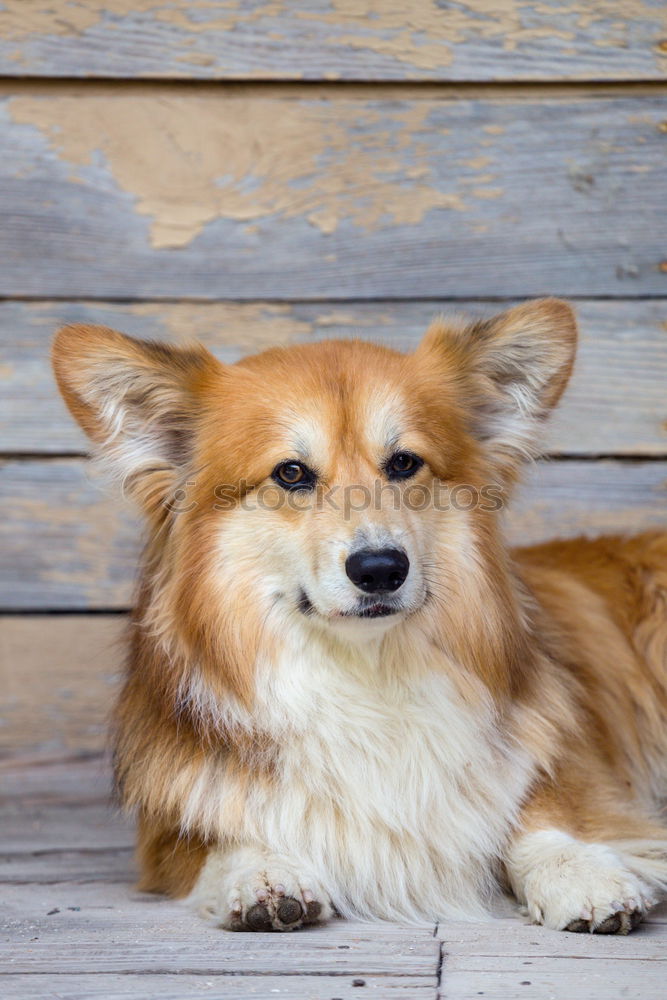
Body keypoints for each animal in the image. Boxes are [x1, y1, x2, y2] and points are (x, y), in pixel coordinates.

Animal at [53, 300, 667, 932]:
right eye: (291, 474)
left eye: (403, 463)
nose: (380, 570)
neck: (366, 671)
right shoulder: (169, 831)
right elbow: (219, 840)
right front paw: (262, 872)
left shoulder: (568, 771)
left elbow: (541, 815)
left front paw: (580, 873)